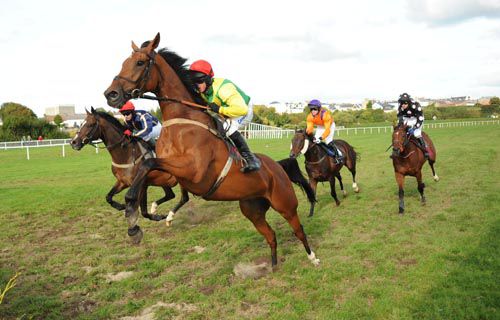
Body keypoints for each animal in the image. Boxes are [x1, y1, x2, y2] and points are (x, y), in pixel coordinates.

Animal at [103, 32, 318, 268]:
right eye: (124, 62)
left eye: (140, 63)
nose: (110, 94)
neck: (183, 123)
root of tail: (277, 166)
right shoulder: (170, 173)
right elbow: (144, 172)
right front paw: (135, 217)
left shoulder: (194, 171)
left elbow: (148, 164)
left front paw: (133, 211)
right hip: (252, 208)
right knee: (270, 235)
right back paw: (272, 265)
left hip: (285, 203)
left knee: (299, 230)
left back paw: (313, 258)